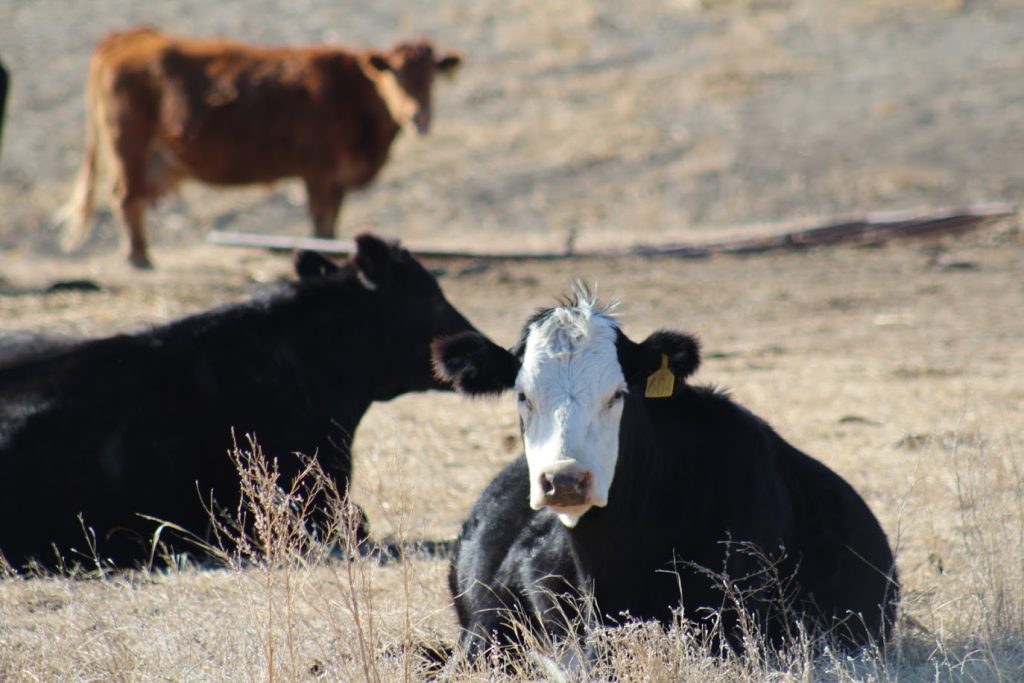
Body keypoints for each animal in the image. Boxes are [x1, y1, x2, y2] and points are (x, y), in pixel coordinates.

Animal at [56, 27, 462, 268]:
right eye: (395, 76)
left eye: (431, 77)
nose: (418, 116)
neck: (355, 91)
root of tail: (128, 36)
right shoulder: (318, 172)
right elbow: (321, 223)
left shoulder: (336, 180)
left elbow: (333, 223)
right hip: (128, 145)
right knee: (124, 197)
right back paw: (138, 257)